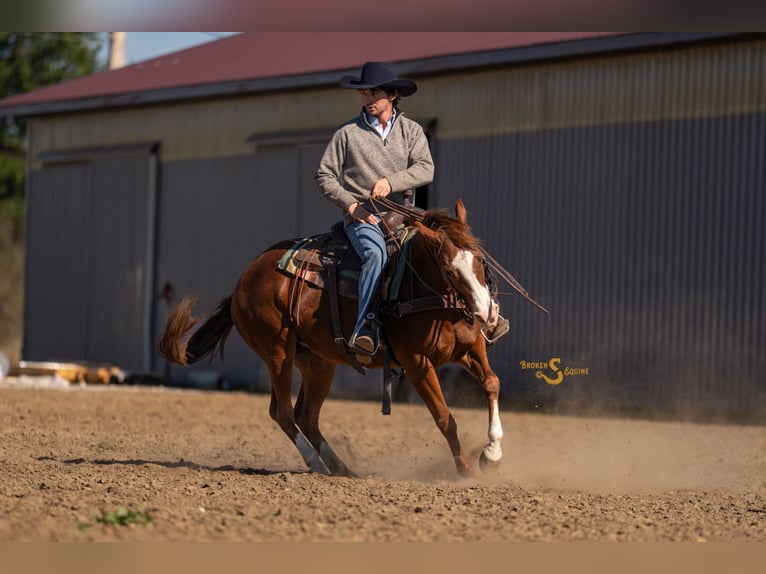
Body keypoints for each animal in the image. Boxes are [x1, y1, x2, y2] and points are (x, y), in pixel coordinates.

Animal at [158, 198, 505, 478]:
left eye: (480, 260)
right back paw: (316, 464)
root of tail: (243, 282)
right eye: (449, 270)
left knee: (306, 416)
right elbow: (445, 417)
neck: (423, 291)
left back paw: (341, 468)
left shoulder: (471, 347)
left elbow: (492, 383)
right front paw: (465, 470)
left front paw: (492, 454)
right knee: (283, 413)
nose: (487, 313)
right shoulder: (417, 363)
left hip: (318, 362)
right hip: (277, 353)